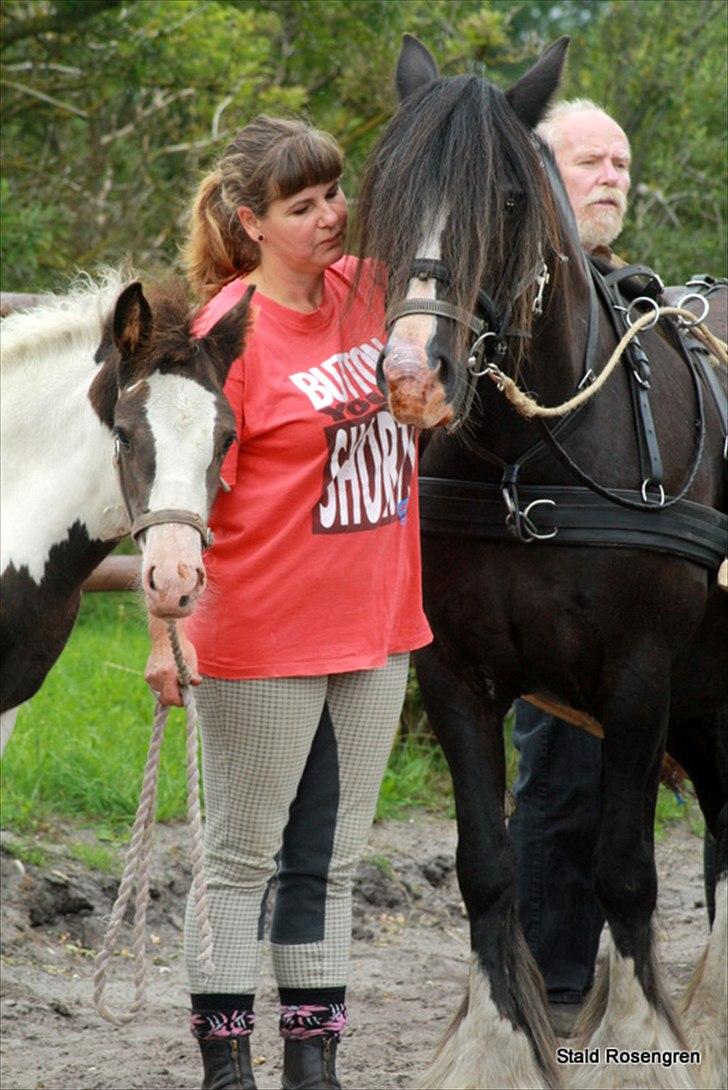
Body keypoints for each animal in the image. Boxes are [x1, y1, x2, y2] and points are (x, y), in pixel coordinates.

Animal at [355, 34, 723, 1090]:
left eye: (510, 200)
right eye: (384, 190)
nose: (411, 375)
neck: (526, 465)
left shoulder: (641, 674)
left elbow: (625, 872)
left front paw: (646, 1042)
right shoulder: (452, 671)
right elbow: (489, 866)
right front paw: (499, 1044)